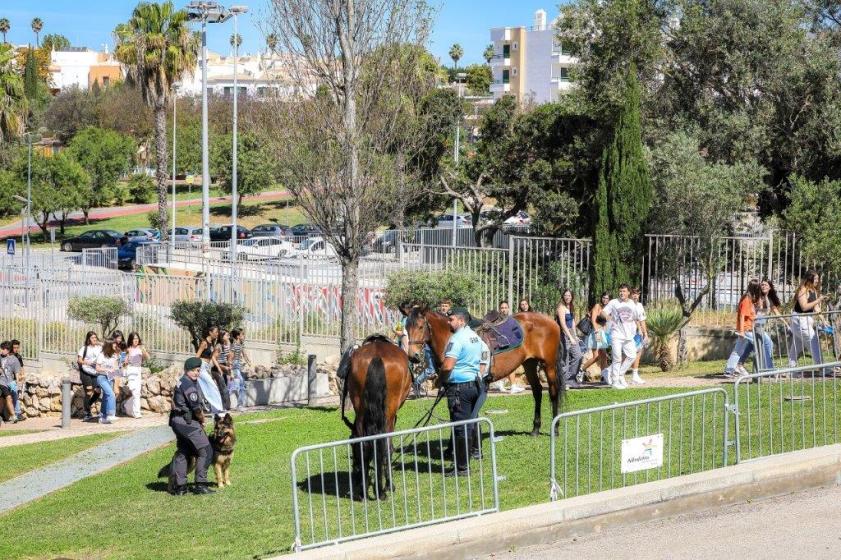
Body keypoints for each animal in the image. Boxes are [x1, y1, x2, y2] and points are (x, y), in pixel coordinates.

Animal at [336, 334, 412, 500]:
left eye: (352, 446)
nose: (355, 473)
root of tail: (376, 356)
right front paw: (389, 485)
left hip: (361, 412)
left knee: (365, 444)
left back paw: (364, 492)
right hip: (388, 415)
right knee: (384, 444)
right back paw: (382, 490)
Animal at [402, 308, 560, 436]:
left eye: (420, 326)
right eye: (406, 328)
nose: (413, 356)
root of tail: (551, 321)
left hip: (549, 365)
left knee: (553, 392)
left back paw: (556, 428)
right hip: (529, 364)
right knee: (537, 392)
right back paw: (535, 429)